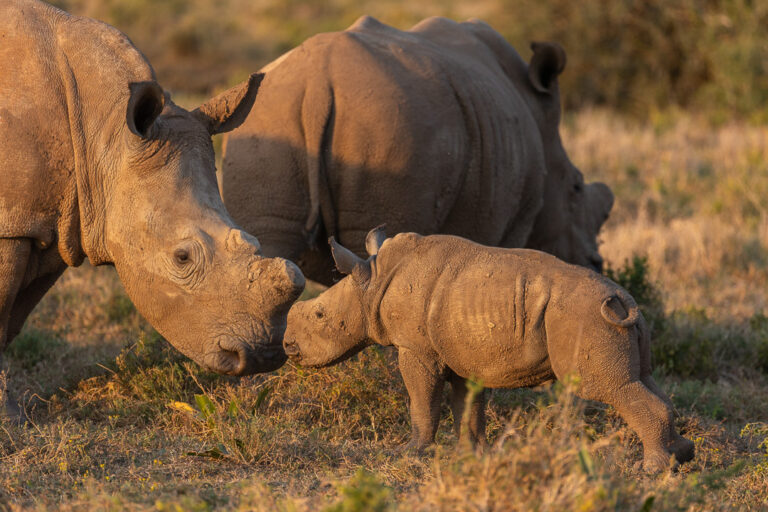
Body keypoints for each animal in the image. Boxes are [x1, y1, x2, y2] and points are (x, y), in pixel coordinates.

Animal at [0, 0, 305, 416]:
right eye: (182, 257)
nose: (263, 355)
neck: (103, 135)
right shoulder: (13, 225)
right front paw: (9, 418)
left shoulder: (49, 219)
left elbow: (12, 317)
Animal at [221, 16, 614, 285]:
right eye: (576, 187)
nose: (597, 264)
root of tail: (318, 82)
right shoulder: (516, 220)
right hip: (388, 123)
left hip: (269, 115)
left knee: (271, 245)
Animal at [283, 227, 695, 472]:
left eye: (320, 315)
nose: (288, 347)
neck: (373, 282)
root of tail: (625, 301)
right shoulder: (459, 352)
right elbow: (468, 406)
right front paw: (473, 454)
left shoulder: (416, 349)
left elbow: (422, 402)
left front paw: (411, 452)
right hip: (617, 320)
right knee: (643, 378)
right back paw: (682, 457)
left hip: (587, 318)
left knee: (609, 387)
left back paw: (653, 470)